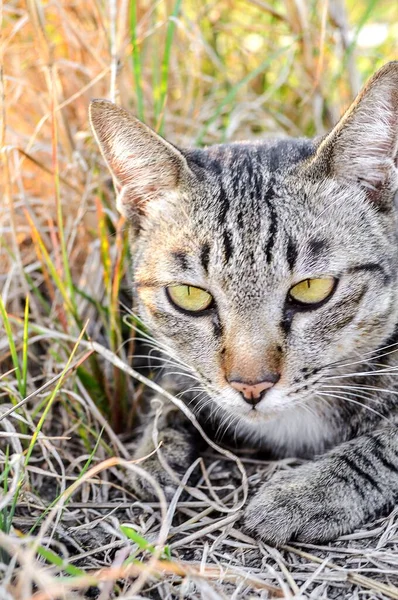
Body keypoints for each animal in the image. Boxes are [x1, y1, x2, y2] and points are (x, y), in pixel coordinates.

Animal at [89, 63, 398, 548]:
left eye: (312, 289)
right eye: (190, 296)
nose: (251, 387)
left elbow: (383, 445)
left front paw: (305, 492)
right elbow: (173, 392)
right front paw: (153, 450)